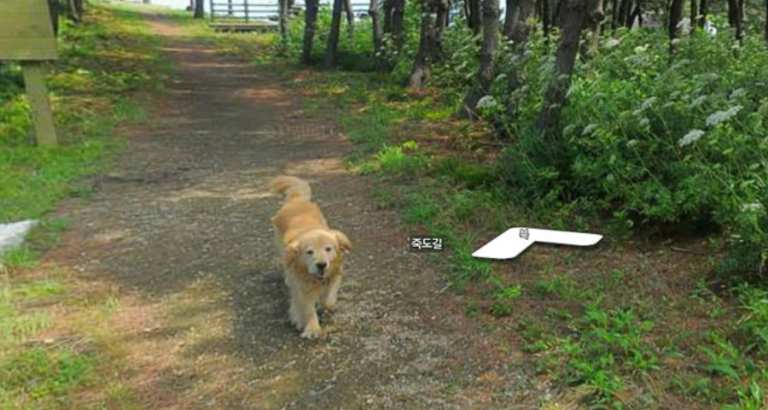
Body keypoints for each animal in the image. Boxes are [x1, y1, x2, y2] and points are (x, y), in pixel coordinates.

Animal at [270, 175, 354, 338]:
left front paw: (325, 304)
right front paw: (312, 328)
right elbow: (307, 309)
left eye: (328, 249)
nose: (321, 265)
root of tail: (296, 199)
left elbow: (327, 300)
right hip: (280, 247)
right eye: (309, 252)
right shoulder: (302, 289)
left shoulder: (334, 276)